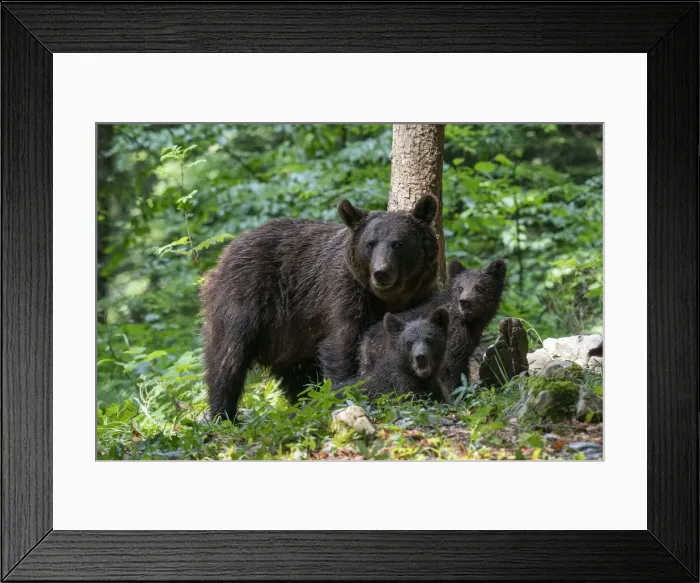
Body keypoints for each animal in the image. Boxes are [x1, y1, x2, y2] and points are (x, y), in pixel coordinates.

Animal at [200, 194, 440, 420]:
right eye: (370, 243)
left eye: (397, 243)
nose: (381, 272)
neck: (387, 297)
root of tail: (227, 250)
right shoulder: (344, 297)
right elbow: (343, 347)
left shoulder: (418, 297)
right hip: (246, 296)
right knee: (227, 357)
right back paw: (224, 414)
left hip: (289, 333)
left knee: (297, 374)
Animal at [359, 258, 507, 396]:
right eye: (460, 288)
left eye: (479, 287)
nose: (465, 302)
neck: (469, 322)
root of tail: (366, 340)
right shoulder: (450, 343)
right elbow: (449, 371)